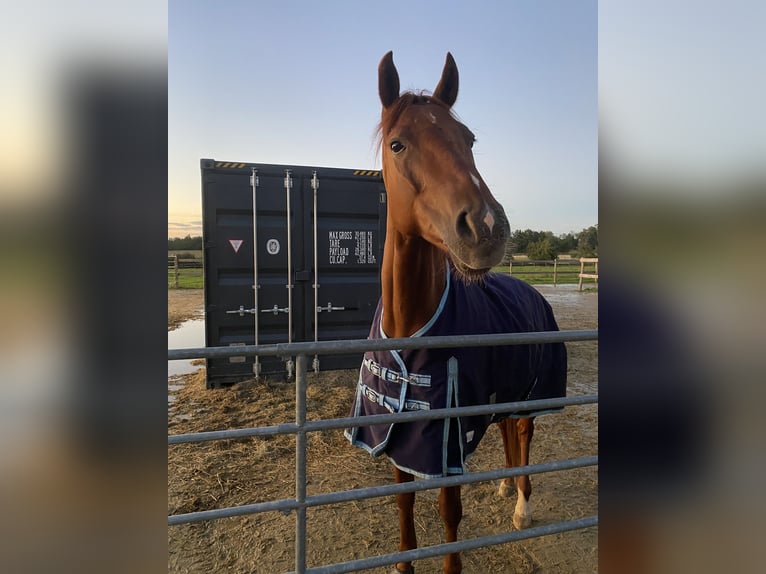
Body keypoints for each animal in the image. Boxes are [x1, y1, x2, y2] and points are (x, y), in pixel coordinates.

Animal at [345, 51, 567, 574]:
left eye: (468, 140)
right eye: (398, 144)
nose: (486, 227)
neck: (410, 328)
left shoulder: (445, 440)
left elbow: (450, 510)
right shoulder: (395, 431)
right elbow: (403, 501)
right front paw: (405, 565)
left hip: (531, 394)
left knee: (523, 433)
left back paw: (521, 504)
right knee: (508, 432)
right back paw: (505, 485)